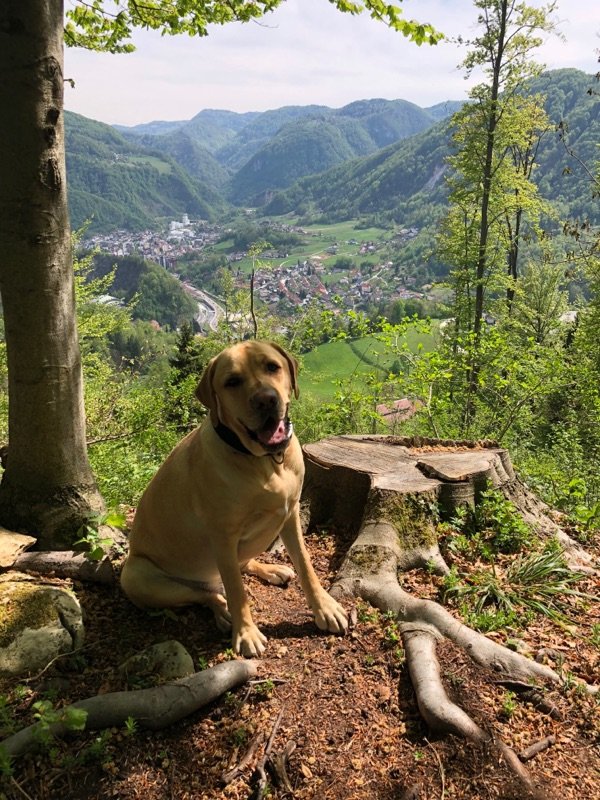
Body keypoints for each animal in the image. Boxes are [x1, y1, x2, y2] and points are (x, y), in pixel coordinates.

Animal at [120, 338, 350, 656]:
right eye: (232, 381)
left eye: (272, 366)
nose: (266, 400)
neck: (265, 462)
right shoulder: (222, 536)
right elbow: (237, 591)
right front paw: (246, 633)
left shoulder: (290, 514)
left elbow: (306, 565)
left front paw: (325, 608)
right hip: (137, 577)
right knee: (208, 594)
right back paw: (225, 611)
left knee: (238, 569)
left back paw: (271, 570)